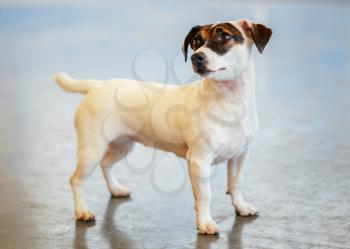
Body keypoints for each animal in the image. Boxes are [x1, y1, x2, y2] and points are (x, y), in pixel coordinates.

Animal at [54, 18, 272, 234]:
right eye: (196, 42)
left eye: (225, 36)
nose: (197, 57)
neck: (230, 100)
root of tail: (97, 86)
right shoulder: (199, 162)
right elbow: (204, 196)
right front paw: (205, 223)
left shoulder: (239, 156)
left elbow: (236, 184)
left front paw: (241, 207)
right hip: (91, 150)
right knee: (76, 180)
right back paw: (82, 211)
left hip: (122, 146)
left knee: (106, 164)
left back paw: (116, 189)